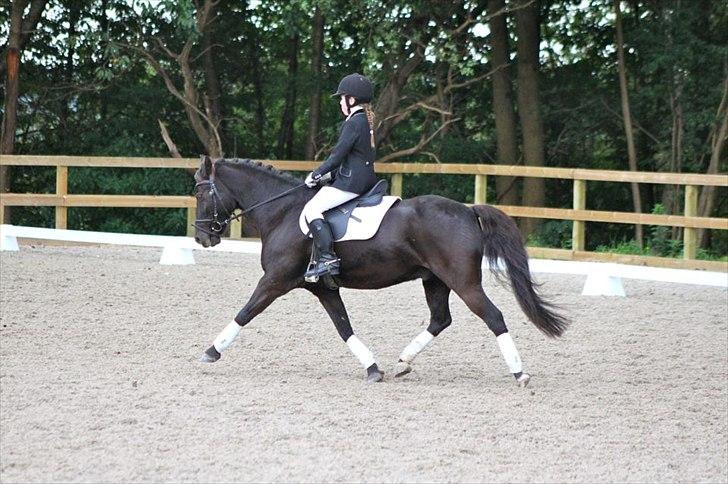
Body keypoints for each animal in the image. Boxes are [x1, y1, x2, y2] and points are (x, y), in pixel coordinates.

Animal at [193, 156, 568, 386]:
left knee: (493, 316)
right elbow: (344, 327)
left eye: (199, 192)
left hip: (464, 282)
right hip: (435, 280)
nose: (202, 237)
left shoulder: (275, 280)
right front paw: (373, 369)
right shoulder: (323, 287)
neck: (282, 211)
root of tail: (467, 211)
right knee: (440, 319)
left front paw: (210, 352)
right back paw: (404, 361)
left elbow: (245, 313)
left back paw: (519, 374)